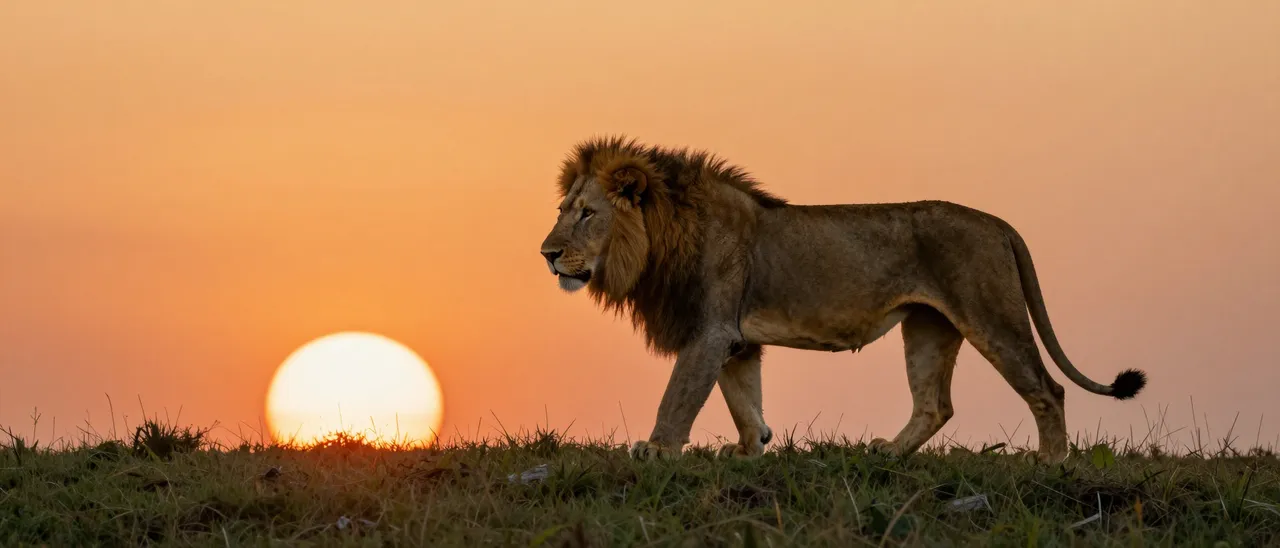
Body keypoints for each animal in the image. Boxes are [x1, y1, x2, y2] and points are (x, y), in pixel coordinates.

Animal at [538, 136, 1147, 464]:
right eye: (564, 209)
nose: (546, 253)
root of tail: (998, 222)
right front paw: (751, 447)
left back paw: (1051, 462)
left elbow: (679, 397)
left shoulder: (709, 330)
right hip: (928, 327)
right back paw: (888, 452)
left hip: (991, 315)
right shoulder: (734, 339)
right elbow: (742, 398)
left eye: (587, 213)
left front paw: (657, 450)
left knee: (1048, 388)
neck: (661, 238)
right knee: (936, 404)